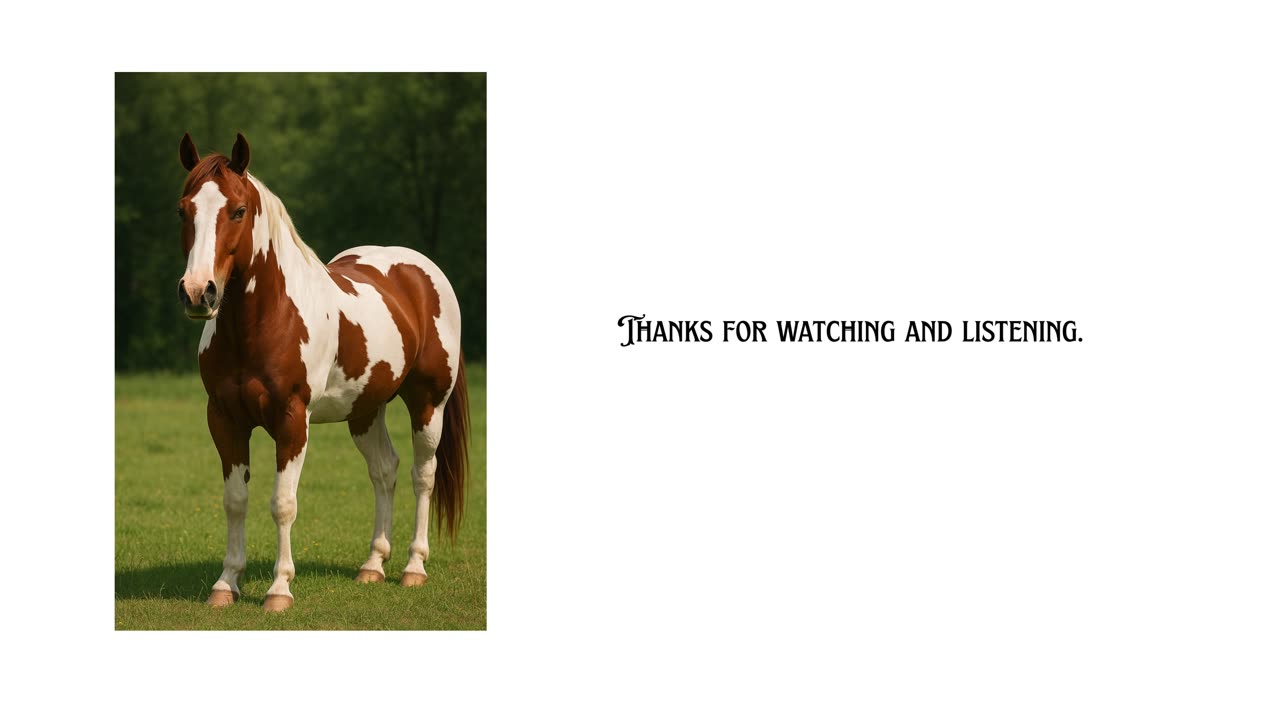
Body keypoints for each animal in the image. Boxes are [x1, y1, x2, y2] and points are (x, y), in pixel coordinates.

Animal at [175, 133, 469, 612]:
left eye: (238, 210)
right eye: (183, 210)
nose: (199, 292)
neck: (264, 321)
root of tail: (423, 273)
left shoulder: (293, 420)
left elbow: (283, 502)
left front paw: (279, 589)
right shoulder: (224, 419)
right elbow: (235, 500)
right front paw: (226, 584)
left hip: (428, 404)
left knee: (421, 475)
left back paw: (413, 568)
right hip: (365, 411)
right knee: (384, 470)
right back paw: (373, 565)